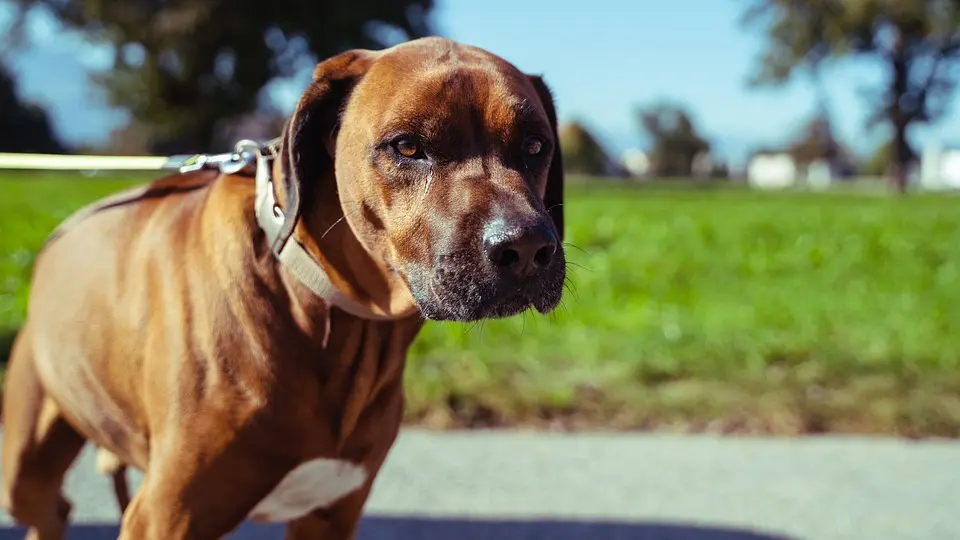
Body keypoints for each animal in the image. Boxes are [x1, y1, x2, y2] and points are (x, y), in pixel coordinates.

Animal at [0, 35, 568, 536]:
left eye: (534, 145)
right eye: (407, 146)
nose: (525, 248)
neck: (324, 315)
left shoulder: (331, 514)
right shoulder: (167, 517)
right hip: (24, 463)